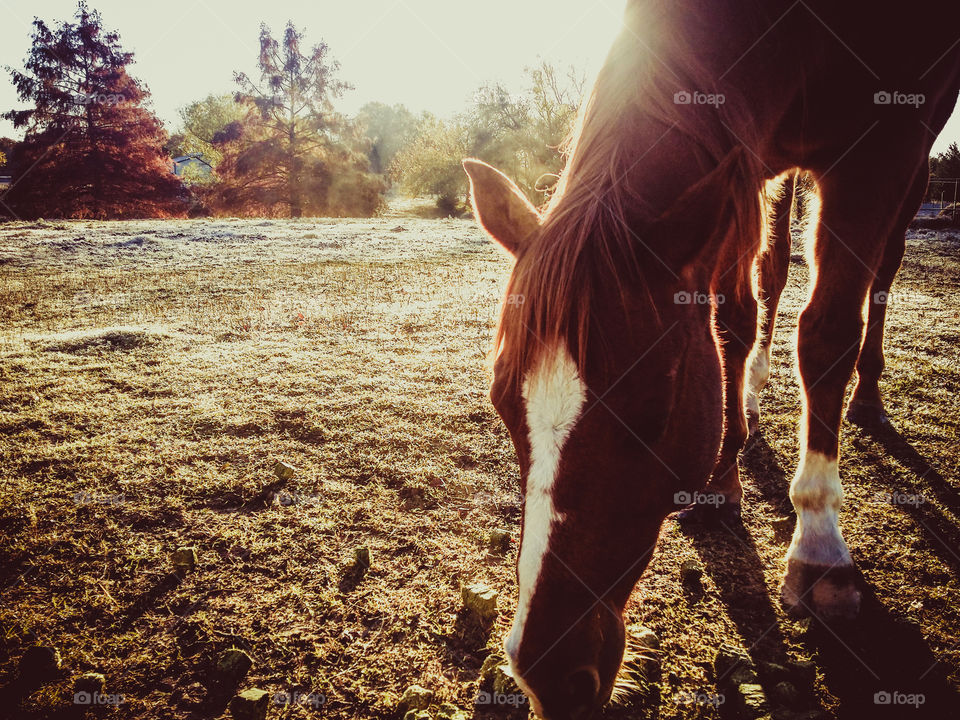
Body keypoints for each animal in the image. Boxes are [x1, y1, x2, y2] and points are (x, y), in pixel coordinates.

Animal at [464, 1, 952, 720]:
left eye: (652, 411)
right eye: (503, 405)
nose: (547, 675)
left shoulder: (883, 147)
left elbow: (828, 334)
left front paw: (820, 548)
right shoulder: (741, 157)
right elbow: (732, 319)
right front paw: (723, 469)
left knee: (880, 275)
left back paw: (867, 397)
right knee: (772, 275)